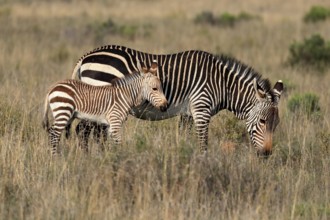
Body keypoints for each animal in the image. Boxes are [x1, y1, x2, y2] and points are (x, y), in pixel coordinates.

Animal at [71, 44, 282, 156]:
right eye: (262, 121)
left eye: (276, 124)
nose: (267, 154)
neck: (222, 84)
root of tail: (85, 57)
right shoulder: (201, 109)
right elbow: (203, 143)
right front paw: (204, 166)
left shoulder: (187, 113)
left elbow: (184, 138)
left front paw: (184, 158)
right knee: (83, 131)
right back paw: (92, 159)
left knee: (91, 133)